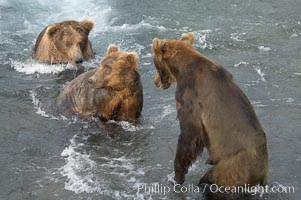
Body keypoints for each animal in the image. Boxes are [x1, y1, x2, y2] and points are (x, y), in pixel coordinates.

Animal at [151, 32, 268, 188]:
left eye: (156, 64)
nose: (155, 82)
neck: (181, 70)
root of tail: (262, 174)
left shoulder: (191, 99)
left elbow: (189, 134)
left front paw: (177, 177)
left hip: (232, 167)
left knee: (212, 177)